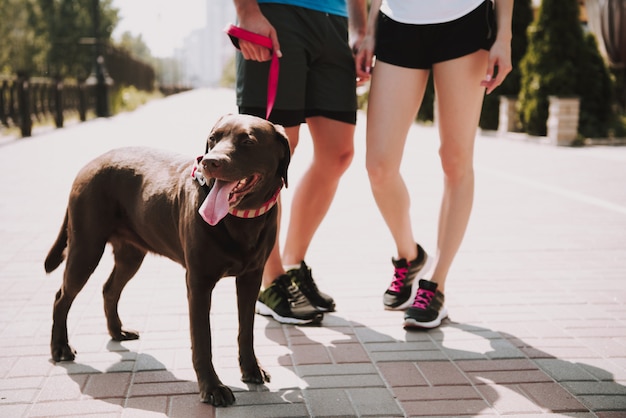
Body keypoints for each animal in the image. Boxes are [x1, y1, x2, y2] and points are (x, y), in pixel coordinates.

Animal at [44, 113, 290, 404]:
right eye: (213, 139)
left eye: (248, 141)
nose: (209, 162)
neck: (241, 219)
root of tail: (90, 164)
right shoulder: (198, 282)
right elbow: (203, 339)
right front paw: (212, 387)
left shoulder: (251, 277)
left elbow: (247, 329)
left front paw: (251, 369)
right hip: (86, 248)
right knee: (62, 297)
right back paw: (60, 347)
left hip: (131, 255)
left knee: (109, 289)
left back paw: (117, 331)